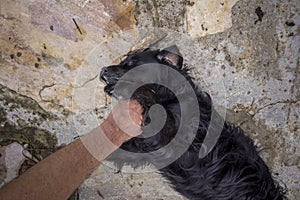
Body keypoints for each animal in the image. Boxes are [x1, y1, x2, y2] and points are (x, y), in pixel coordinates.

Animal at [99, 45, 284, 200]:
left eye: (132, 64)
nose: (102, 70)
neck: (170, 97)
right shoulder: (146, 147)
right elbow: (119, 149)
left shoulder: (171, 136)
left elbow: (146, 95)